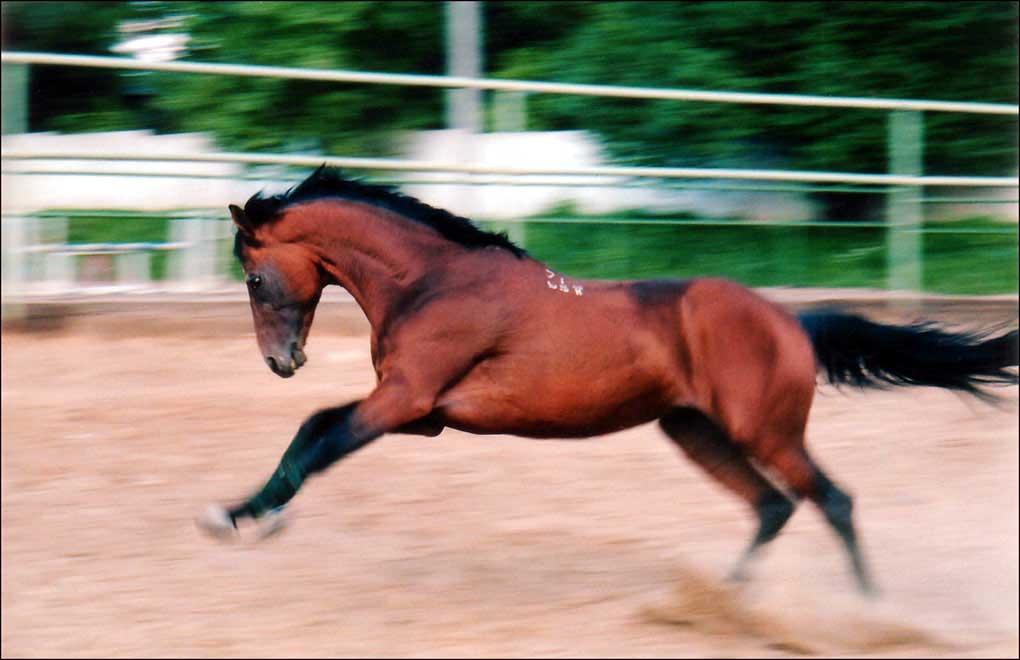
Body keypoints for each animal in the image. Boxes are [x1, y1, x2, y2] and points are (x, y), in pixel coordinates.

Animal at [198, 165, 1018, 595]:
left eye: (254, 277)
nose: (282, 362)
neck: (433, 281)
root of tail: (791, 322)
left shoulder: (406, 401)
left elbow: (319, 443)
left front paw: (244, 515)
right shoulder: (418, 412)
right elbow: (312, 429)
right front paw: (250, 512)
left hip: (764, 430)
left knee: (832, 501)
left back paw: (866, 607)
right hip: (695, 430)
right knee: (774, 507)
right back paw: (727, 600)